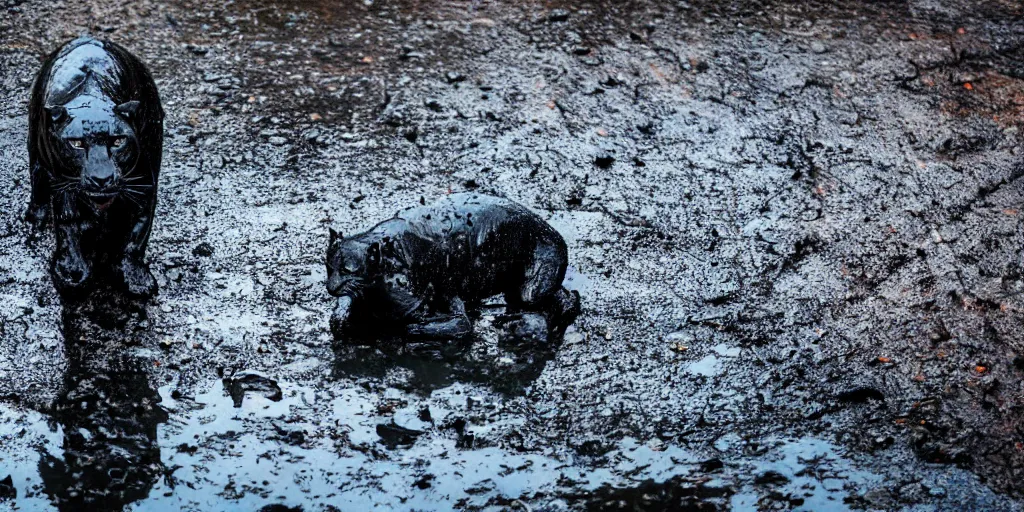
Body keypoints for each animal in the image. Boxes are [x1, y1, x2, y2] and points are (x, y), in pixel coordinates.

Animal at [28, 37, 164, 299]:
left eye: (118, 141)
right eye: (77, 143)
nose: (102, 178)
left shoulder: (144, 181)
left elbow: (137, 230)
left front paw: (135, 277)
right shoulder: (61, 182)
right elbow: (67, 222)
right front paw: (72, 272)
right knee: (37, 179)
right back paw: (35, 217)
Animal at [329, 193, 581, 342]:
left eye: (349, 269)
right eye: (327, 266)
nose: (331, 287)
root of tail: (548, 228)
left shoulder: (442, 285)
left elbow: (459, 323)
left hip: (538, 271)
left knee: (549, 298)